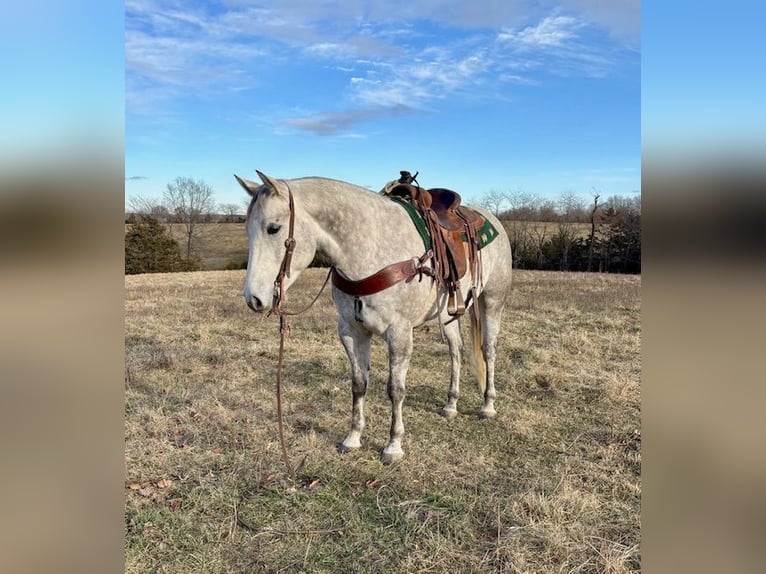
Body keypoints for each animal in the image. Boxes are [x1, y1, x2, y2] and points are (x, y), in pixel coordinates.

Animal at [237, 169, 512, 466]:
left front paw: (393, 445)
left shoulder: (399, 333)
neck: (369, 251)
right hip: (448, 313)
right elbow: (359, 384)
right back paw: (451, 404)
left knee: (488, 350)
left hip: (492, 302)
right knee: (456, 352)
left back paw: (488, 405)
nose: (254, 299)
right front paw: (353, 438)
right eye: (248, 230)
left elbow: (396, 390)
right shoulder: (351, 331)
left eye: (273, 228)